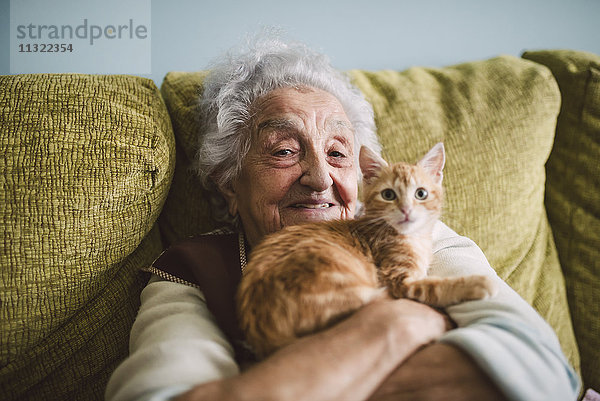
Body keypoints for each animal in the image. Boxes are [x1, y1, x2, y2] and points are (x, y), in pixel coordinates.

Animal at [238, 143, 496, 356]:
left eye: (420, 193)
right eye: (388, 194)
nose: (406, 210)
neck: (410, 238)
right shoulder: (399, 281)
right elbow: (434, 287)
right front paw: (477, 283)